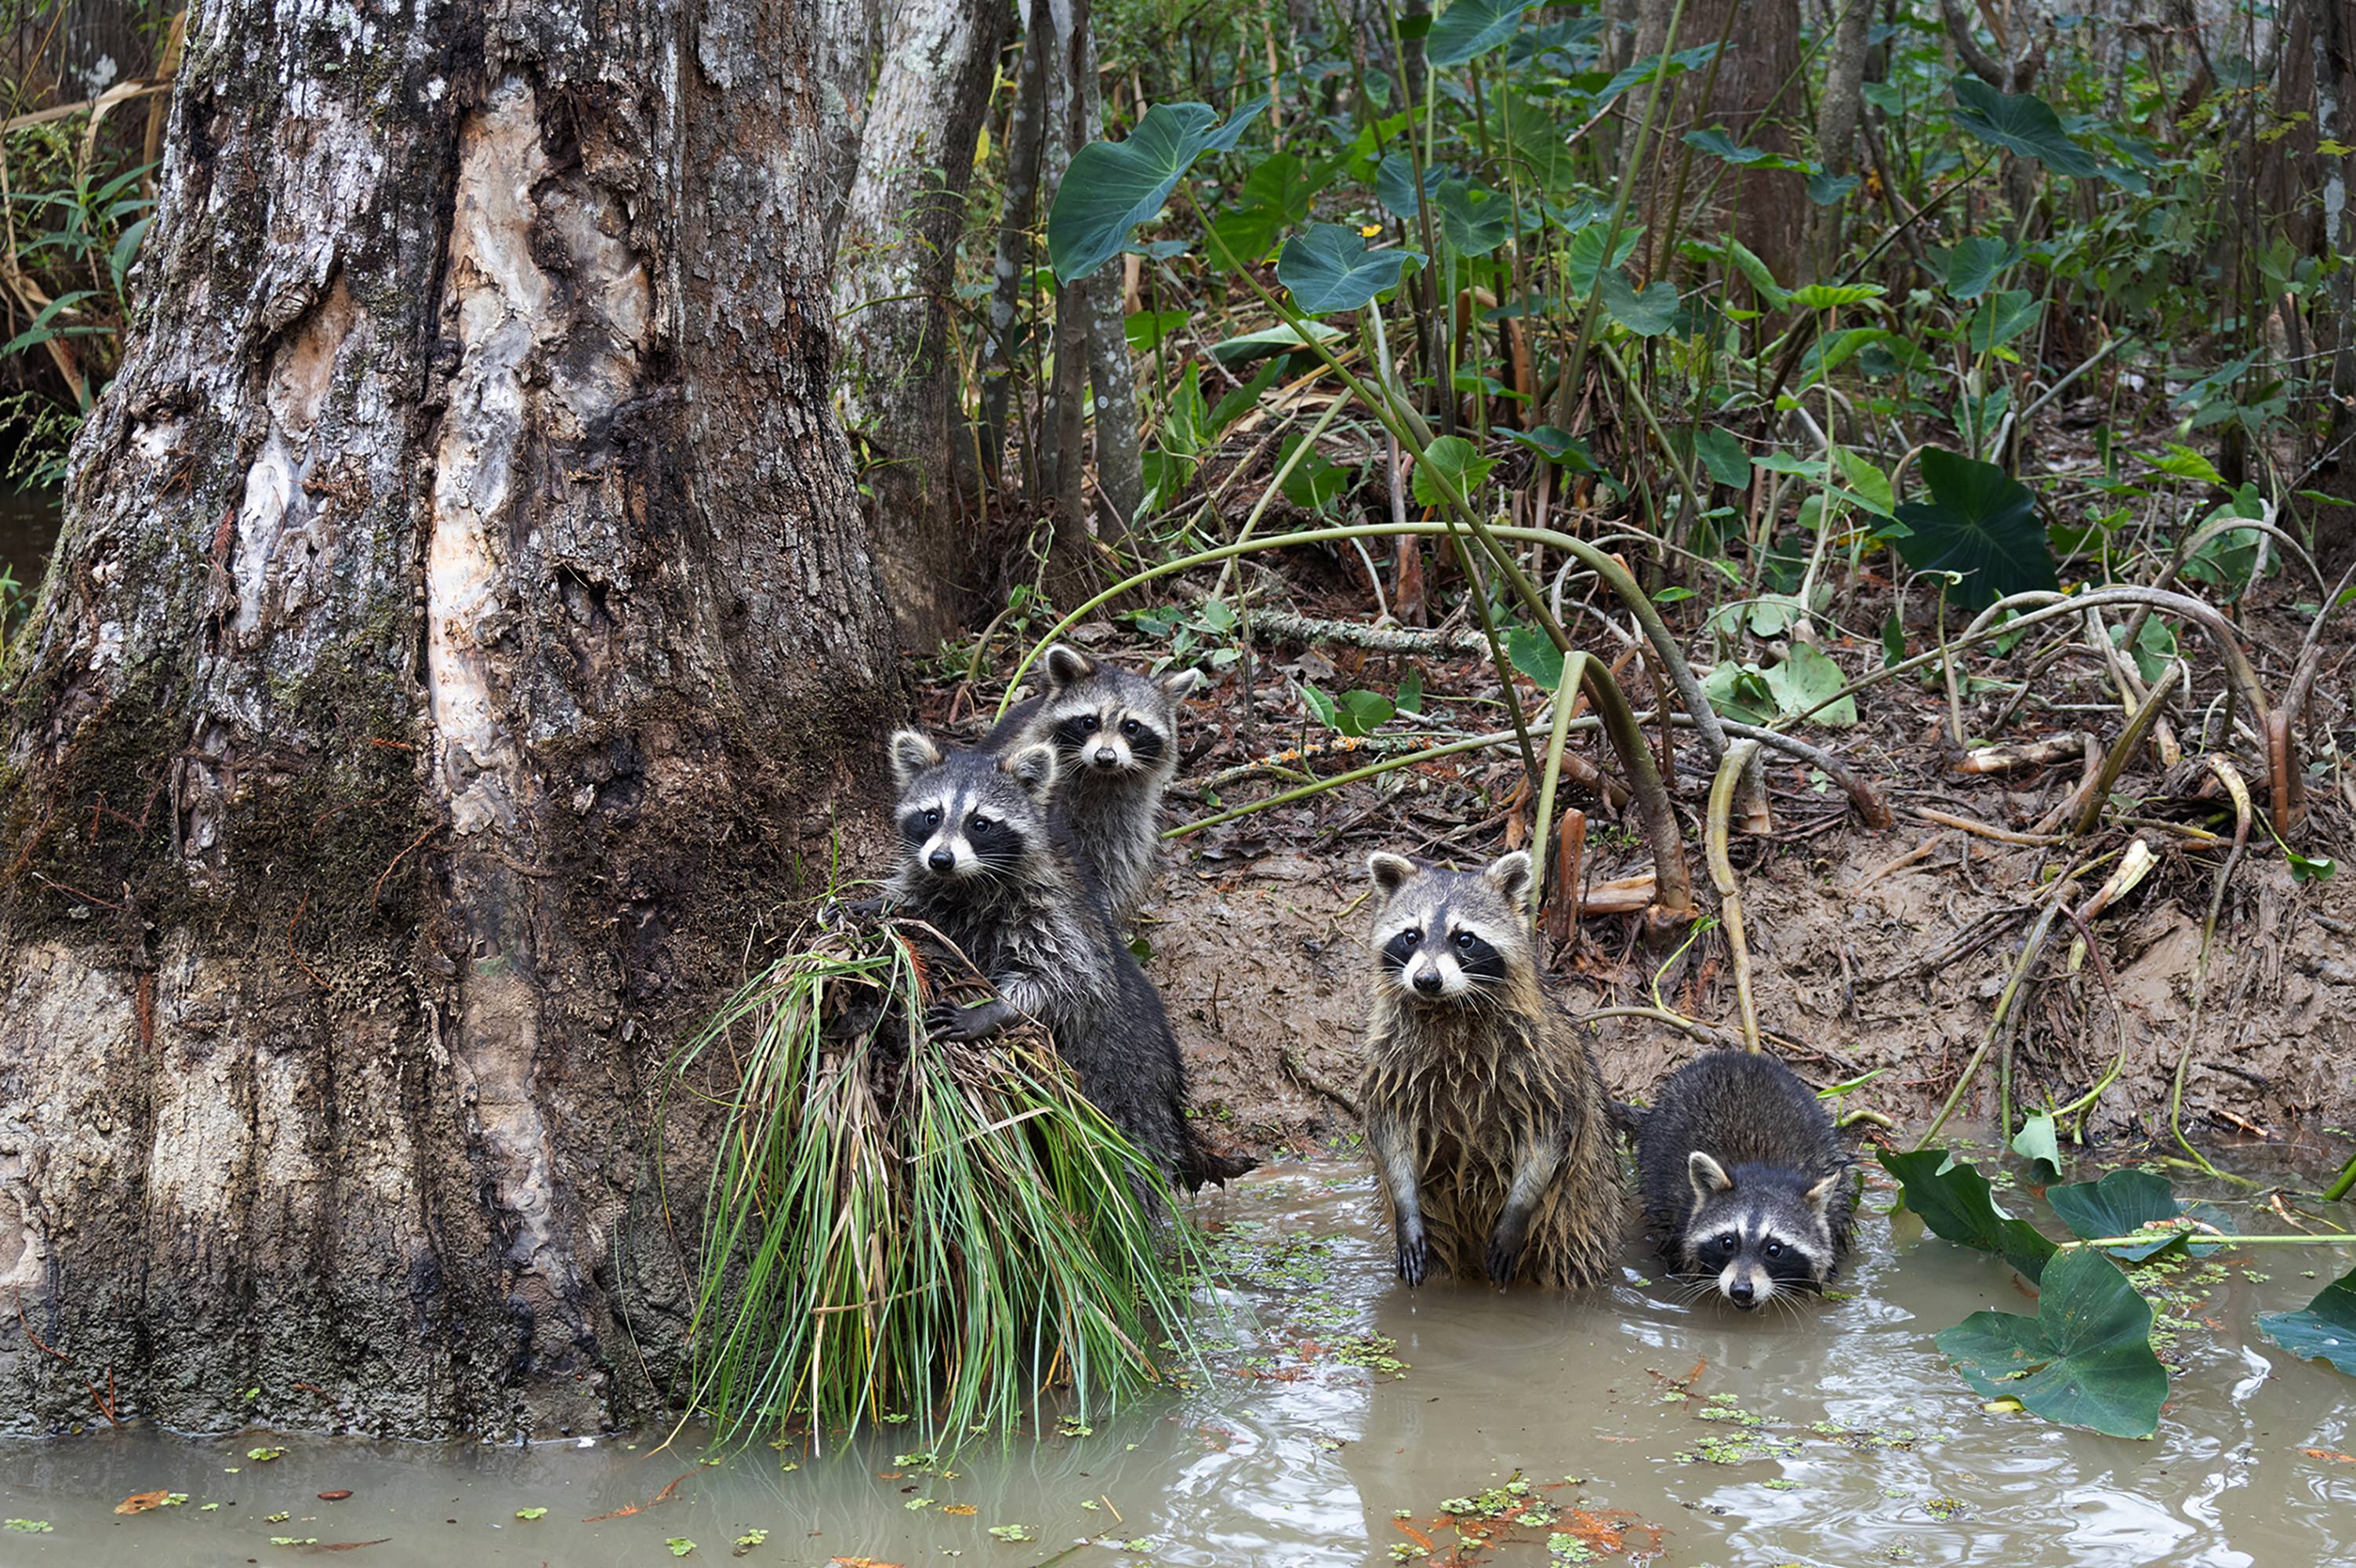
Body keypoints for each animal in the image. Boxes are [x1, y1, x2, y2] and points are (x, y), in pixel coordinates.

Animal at [882, 729, 1250, 1191]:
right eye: (932, 816)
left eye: (980, 823)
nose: (941, 859)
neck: (966, 884)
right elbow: (918, 904)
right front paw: (877, 904)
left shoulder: (1047, 908)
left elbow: (1069, 978)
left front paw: (995, 1009)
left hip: (1127, 1088)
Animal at [987, 645, 1202, 926]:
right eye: (1089, 722)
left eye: (1132, 727)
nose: (1106, 757)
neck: (1098, 776)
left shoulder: (1124, 817)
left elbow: (1115, 861)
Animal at [1358, 850, 1621, 1290]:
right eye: (1411, 936)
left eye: (1464, 939)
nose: (1426, 980)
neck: (1448, 1008)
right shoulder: (1390, 1061)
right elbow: (1390, 1131)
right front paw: (1404, 1203)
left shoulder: (1545, 1061)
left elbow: (1551, 1132)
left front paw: (1518, 1209)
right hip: (1442, 1230)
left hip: (1576, 1218)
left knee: (1570, 1263)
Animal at [1634, 1049, 1856, 1311]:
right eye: (1727, 1242)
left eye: (1774, 1249)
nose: (1741, 1290)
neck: (1762, 1173)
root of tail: (1731, 1054)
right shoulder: (1678, 1217)